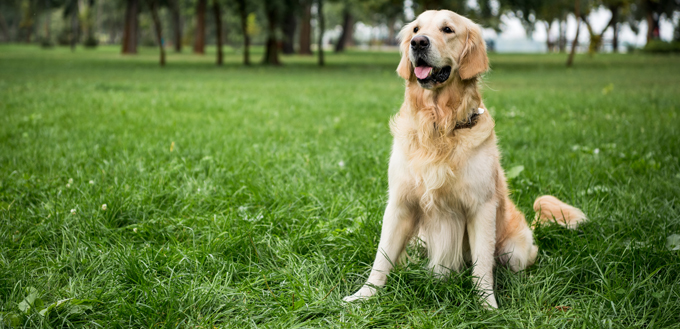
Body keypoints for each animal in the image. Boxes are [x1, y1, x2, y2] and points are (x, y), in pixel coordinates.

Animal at [342, 10, 588, 308]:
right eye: (416, 29)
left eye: (447, 29)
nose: (418, 43)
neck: (439, 125)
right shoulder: (400, 203)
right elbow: (383, 256)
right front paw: (364, 295)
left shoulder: (481, 207)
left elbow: (482, 266)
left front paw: (488, 306)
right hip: (419, 240)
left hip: (514, 251)